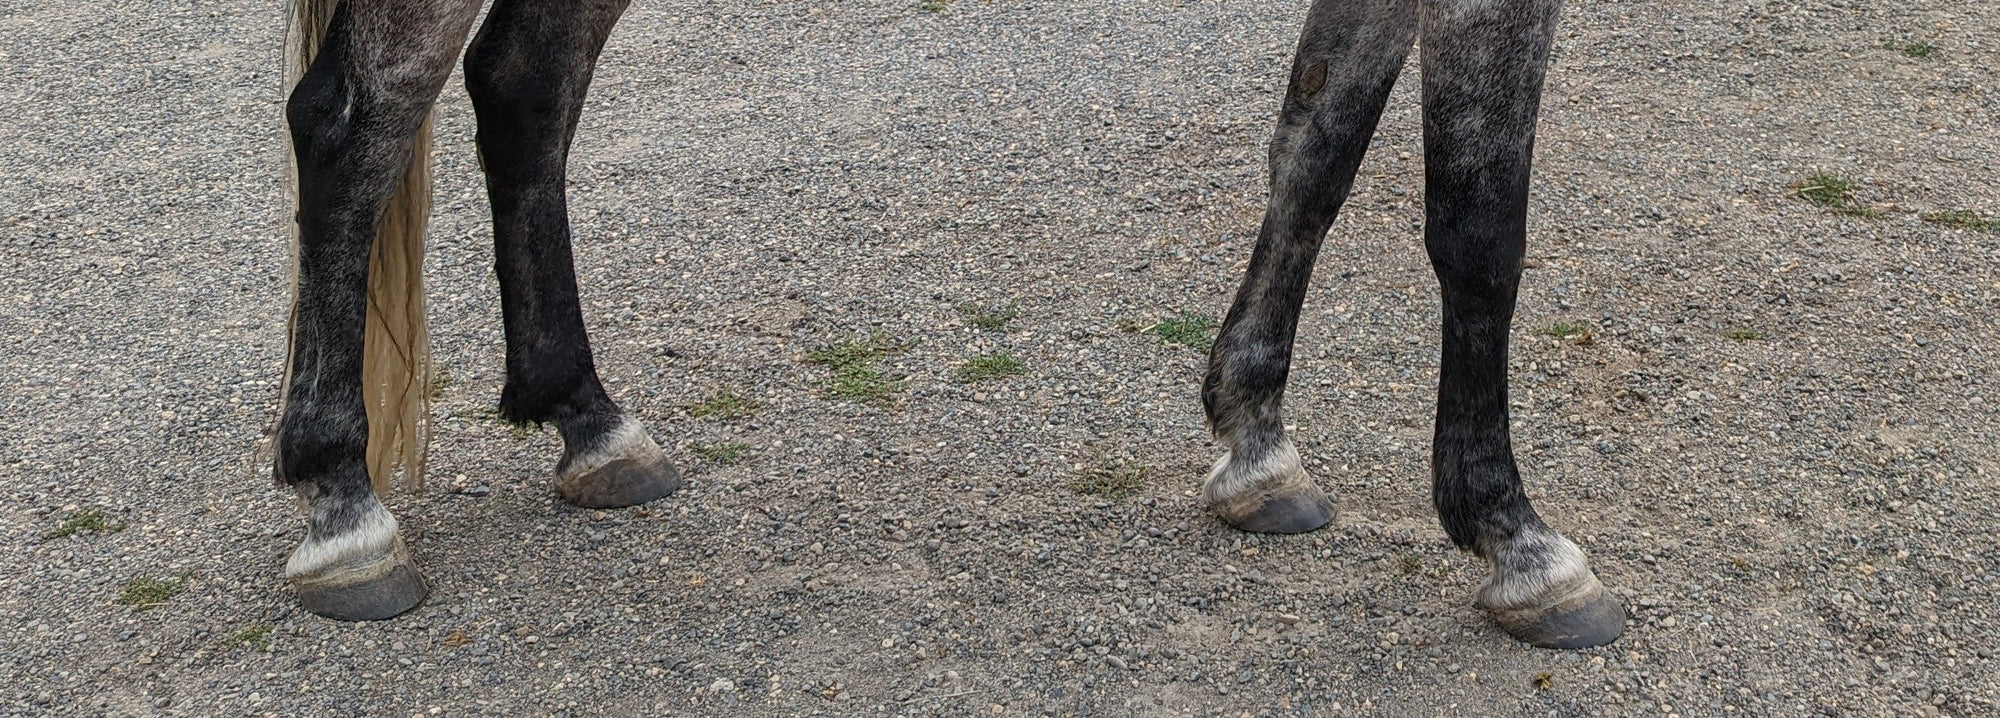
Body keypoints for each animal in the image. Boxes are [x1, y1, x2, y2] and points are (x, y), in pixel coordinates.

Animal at [274, 0, 1624, 649]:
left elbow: (1319, 142)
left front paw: (1253, 436)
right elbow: (1475, 221)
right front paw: (1514, 534)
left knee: (523, 82)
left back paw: (590, 422)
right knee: (354, 118)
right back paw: (345, 506)